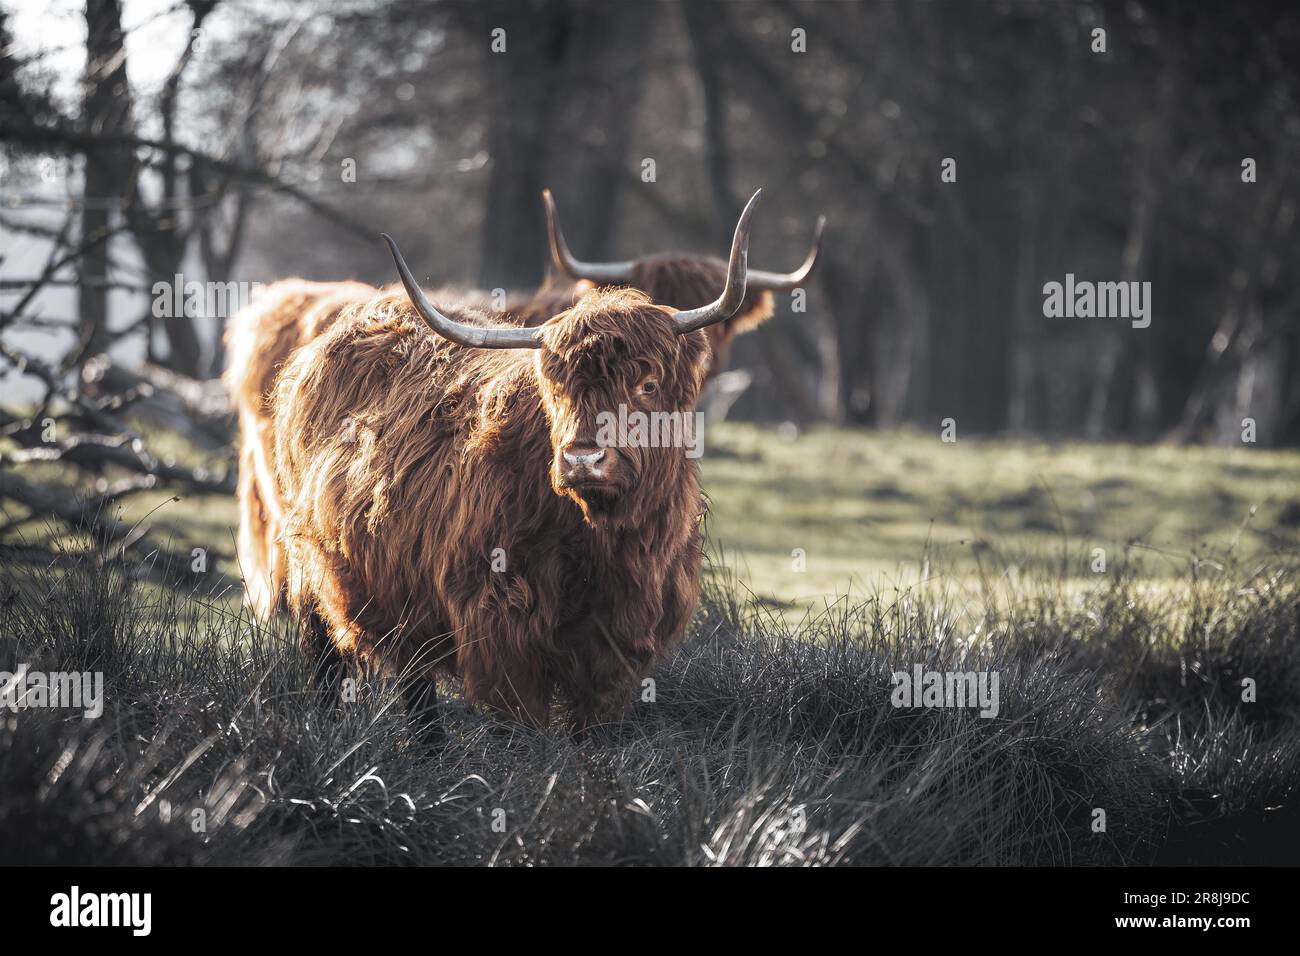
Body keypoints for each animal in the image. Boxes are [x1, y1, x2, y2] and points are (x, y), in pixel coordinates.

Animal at [258, 192, 763, 727]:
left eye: (647, 385)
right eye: (555, 389)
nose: (583, 459)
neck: (602, 540)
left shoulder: (619, 643)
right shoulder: (500, 624)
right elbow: (524, 725)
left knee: (413, 675)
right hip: (313, 562)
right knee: (328, 655)